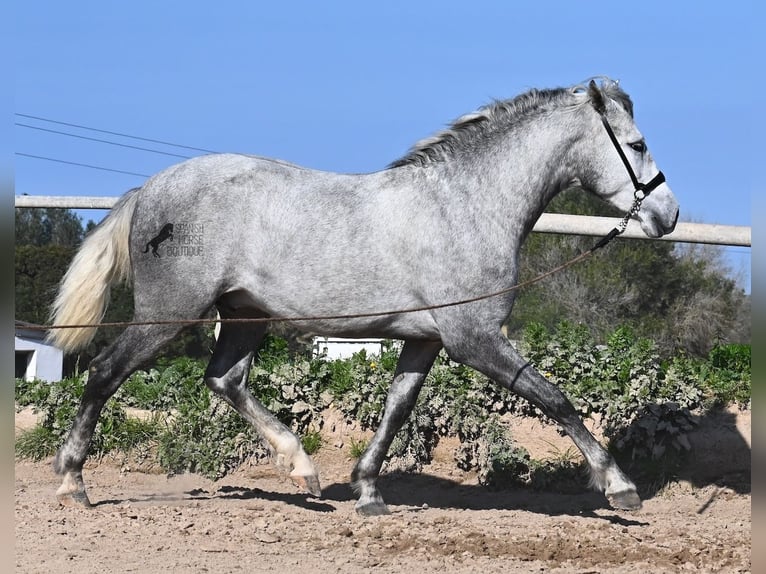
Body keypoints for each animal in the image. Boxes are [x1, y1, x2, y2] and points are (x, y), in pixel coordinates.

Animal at [51, 77, 680, 516]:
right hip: (168, 313)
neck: (464, 205)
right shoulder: (474, 339)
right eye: (637, 143)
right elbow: (555, 399)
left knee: (224, 379)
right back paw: (72, 481)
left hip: (246, 314)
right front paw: (620, 487)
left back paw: (302, 469)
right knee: (104, 373)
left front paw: (368, 491)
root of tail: (150, 189)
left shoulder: (425, 341)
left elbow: (396, 410)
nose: (667, 216)